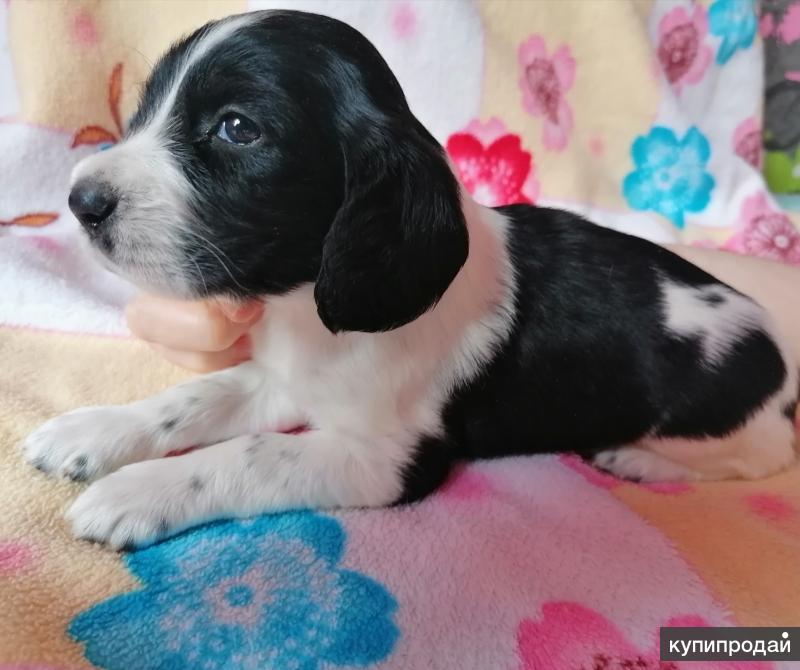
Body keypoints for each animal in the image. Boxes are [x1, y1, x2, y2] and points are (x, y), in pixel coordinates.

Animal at [24, 10, 798, 549]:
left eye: (237, 129)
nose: (81, 201)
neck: (304, 307)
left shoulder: (386, 457)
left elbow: (246, 454)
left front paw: (133, 493)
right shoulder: (283, 380)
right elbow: (195, 397)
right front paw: (96, 431)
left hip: (722, 426)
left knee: (760, 457)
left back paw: (639, 461)